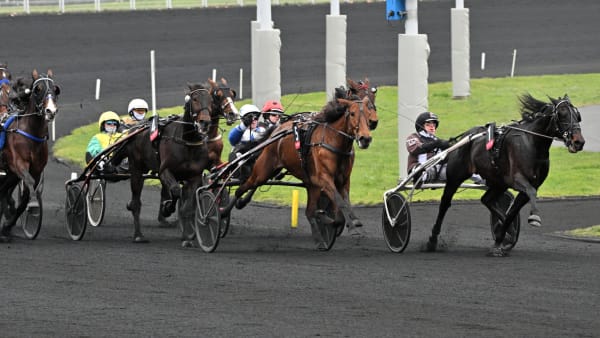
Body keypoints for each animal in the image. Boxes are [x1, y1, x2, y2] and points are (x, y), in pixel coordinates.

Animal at [0, 70, 60, 242]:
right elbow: (29, 185)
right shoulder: (19, 164)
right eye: (37, 89)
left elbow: (27, 194)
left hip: (10, 175)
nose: (50, 111)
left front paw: (7, 227)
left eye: (55, 89)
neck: (31, 134)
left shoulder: (36, 170)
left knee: (2, 191)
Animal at [112, 82, 213, 243]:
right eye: (195, 99)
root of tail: (135, 129)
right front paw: (167, 208)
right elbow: (176, 191)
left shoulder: (195, 176)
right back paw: (138, 235)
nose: (205, 122)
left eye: (211, 100)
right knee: (136, 203)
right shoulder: (165, 171)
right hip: (136, 169)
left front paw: (187, 237)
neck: (187, 142)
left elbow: (187, 207)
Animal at [225, 96, 376, 250]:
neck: (333, 141)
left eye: (369, 113)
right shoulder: (325, 178)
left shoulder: (343, 180)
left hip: (307, 182)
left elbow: (341, 205)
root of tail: (276, 132)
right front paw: (351, 226)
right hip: (263, 170)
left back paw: (320, 239)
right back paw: (225, 211)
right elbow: (340, 203)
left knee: (308, 210)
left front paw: (344, 221)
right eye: (352, 113)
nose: (365, 139)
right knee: (243, 187)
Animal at [422, 93, 584, 258]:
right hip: (456, 177)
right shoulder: (518, 180)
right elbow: (530, 194)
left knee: (486, 199)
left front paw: (500, 241)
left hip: (498, 182)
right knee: (445, 203)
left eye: (577, 115)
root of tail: (466, 137)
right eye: (562, 114)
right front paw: (534, 217)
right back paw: (432, 240)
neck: (532, 144)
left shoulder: (529, 185)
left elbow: (512, 212)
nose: (579, 142)